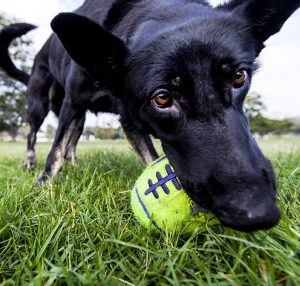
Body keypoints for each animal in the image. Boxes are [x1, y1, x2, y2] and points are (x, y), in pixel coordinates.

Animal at [1, 0, 298, 231]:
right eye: (162, 98)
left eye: (239, 77)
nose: (258, 212)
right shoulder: (73, 104)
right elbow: (55, 152)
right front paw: (41, 189)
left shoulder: (129, 120)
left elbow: (149, 157)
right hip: (40, 103)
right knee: (33, 133)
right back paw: (30, 161)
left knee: (73, 138)